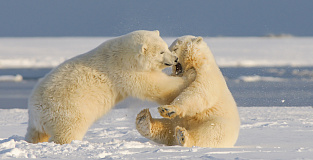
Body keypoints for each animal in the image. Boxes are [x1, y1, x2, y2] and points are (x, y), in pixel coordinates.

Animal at [25, 30, 193, 145]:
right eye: (161, 51)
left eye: (167, 47)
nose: (175, 59)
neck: (123, 55)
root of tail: (36, 110)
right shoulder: (125, 71)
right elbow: (156, 85)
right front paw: (190, 75)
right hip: (68, 111)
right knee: (68, 131)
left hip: (40, 121)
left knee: (35, 133)